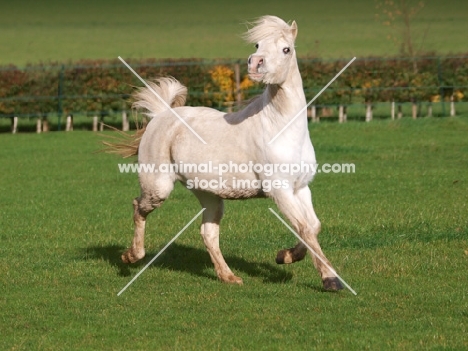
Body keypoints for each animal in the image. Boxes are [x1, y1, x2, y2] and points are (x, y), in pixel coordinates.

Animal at [110, 15, 344, 292]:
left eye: (287, 49)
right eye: (257, 45)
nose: (256, 63)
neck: (281, 128)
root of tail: (161, 115)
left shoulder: (301, 188)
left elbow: (312, 227)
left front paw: (285, 256)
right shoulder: (280, 190)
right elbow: (305, 228)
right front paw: (330, 279)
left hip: (209, 194)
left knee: (208, 233)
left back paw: (228, 276)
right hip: (158, 188)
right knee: (139, 207)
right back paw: (131, 256)